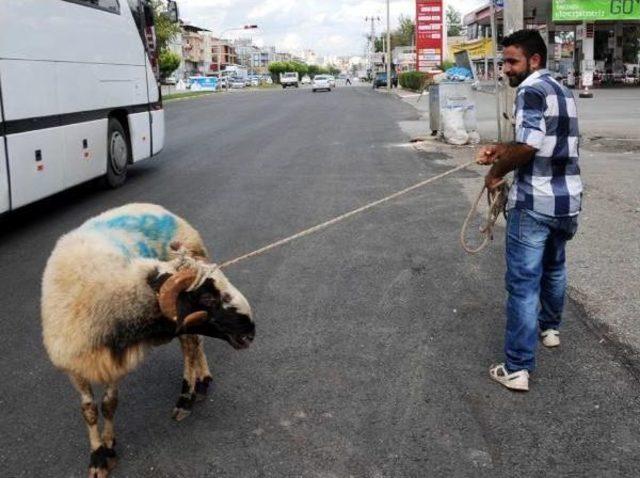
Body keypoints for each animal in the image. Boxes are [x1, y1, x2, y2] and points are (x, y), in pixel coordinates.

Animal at [38, 203, 255, 478]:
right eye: (208, 298)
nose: (251, 330)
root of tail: (160, 209)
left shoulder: (116, 364)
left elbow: (109, 404)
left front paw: (108, 448)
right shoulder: (76, 366)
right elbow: (89, 411)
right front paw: (98, 456)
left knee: (191, 346)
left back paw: (188, 395)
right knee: (194, 344)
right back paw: (201, 380)